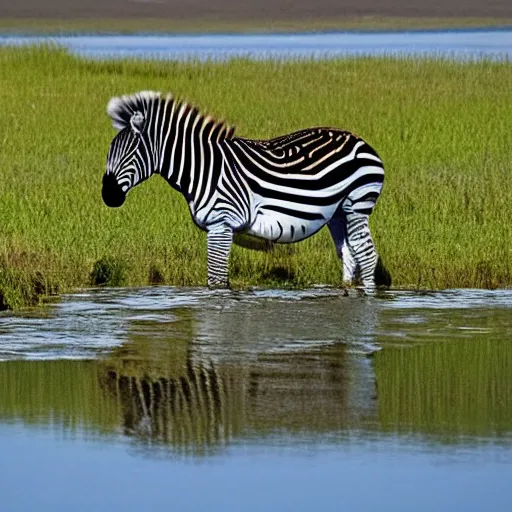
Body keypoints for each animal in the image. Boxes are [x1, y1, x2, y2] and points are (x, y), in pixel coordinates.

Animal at [102, 90, 386, 294]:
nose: (108, 196)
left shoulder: (221, 223)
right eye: (110, 152)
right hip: (338, 212)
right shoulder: (219, 226)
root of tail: (361, 141)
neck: (202, 168)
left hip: (357, 204)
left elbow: (216, 281)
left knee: (367, 256)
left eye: (133, 152)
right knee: (349, 256)